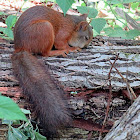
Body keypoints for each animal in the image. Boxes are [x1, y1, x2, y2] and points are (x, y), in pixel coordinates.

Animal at [11, 5, 93, 138]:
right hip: (45, 28)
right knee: (45, 53)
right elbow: (60, 44)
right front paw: (72, 48)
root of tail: (21, 48)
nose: (86, 47)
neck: (72, 25)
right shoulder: (63, 34)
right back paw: (57, 52)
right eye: (86, 37)